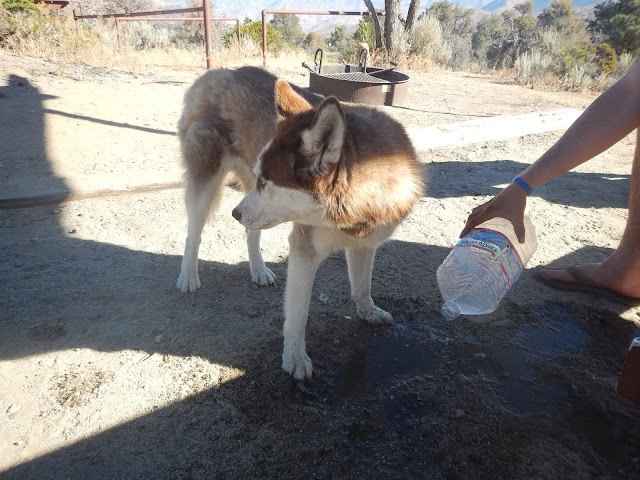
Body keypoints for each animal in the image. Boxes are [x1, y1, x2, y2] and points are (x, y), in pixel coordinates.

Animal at [231, 78, 425, 380]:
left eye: (265, 182)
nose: (235, 213)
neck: (351, 215)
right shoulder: (303, 249)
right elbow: (298, 313)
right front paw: (295, 358)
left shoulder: (364, 243)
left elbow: (362, 287)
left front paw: (368, 313)